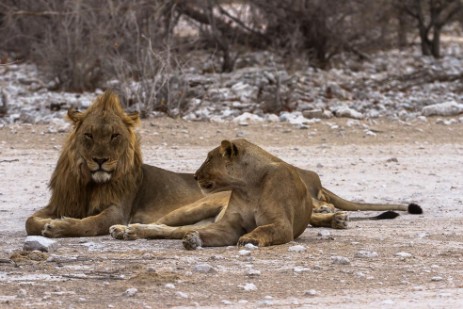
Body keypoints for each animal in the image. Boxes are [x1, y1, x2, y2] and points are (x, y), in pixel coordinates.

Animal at [110, 138, 422, 249]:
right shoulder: (226, 226)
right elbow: (211, 233)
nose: (196, 176)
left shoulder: (281, 224)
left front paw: (250, 239)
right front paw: (196, 240)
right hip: (193, 210)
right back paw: (124, 230)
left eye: (209, 159)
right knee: (162, 225)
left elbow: (264, 229)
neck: (247, 187)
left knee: (167, 230)